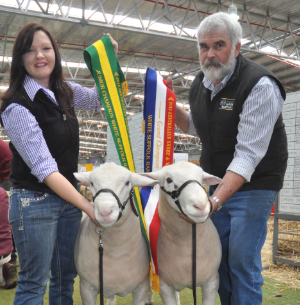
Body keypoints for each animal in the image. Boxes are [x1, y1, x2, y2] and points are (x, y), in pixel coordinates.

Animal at [73, 163, 157, 304]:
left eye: (127, 183)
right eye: (91, 183)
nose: (105, 212)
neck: (116, 252)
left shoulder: (141, 287)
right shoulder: (86, 288)